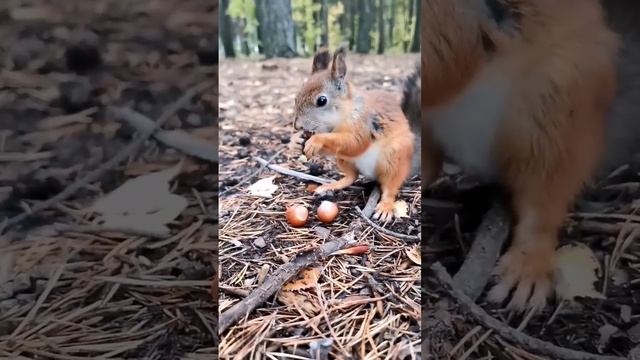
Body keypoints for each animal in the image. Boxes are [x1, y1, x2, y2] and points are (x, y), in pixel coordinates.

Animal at [292, 47, 412, 222]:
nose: (297, 126)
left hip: (394, 157)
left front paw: (316, 140)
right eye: (296, 97)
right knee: (352, 176)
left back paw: (385, 206)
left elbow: (355, 143)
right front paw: (296, 141)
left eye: (322, 100)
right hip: (343, 159)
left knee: (390, 187)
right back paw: (331, 186)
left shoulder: (364, 125)